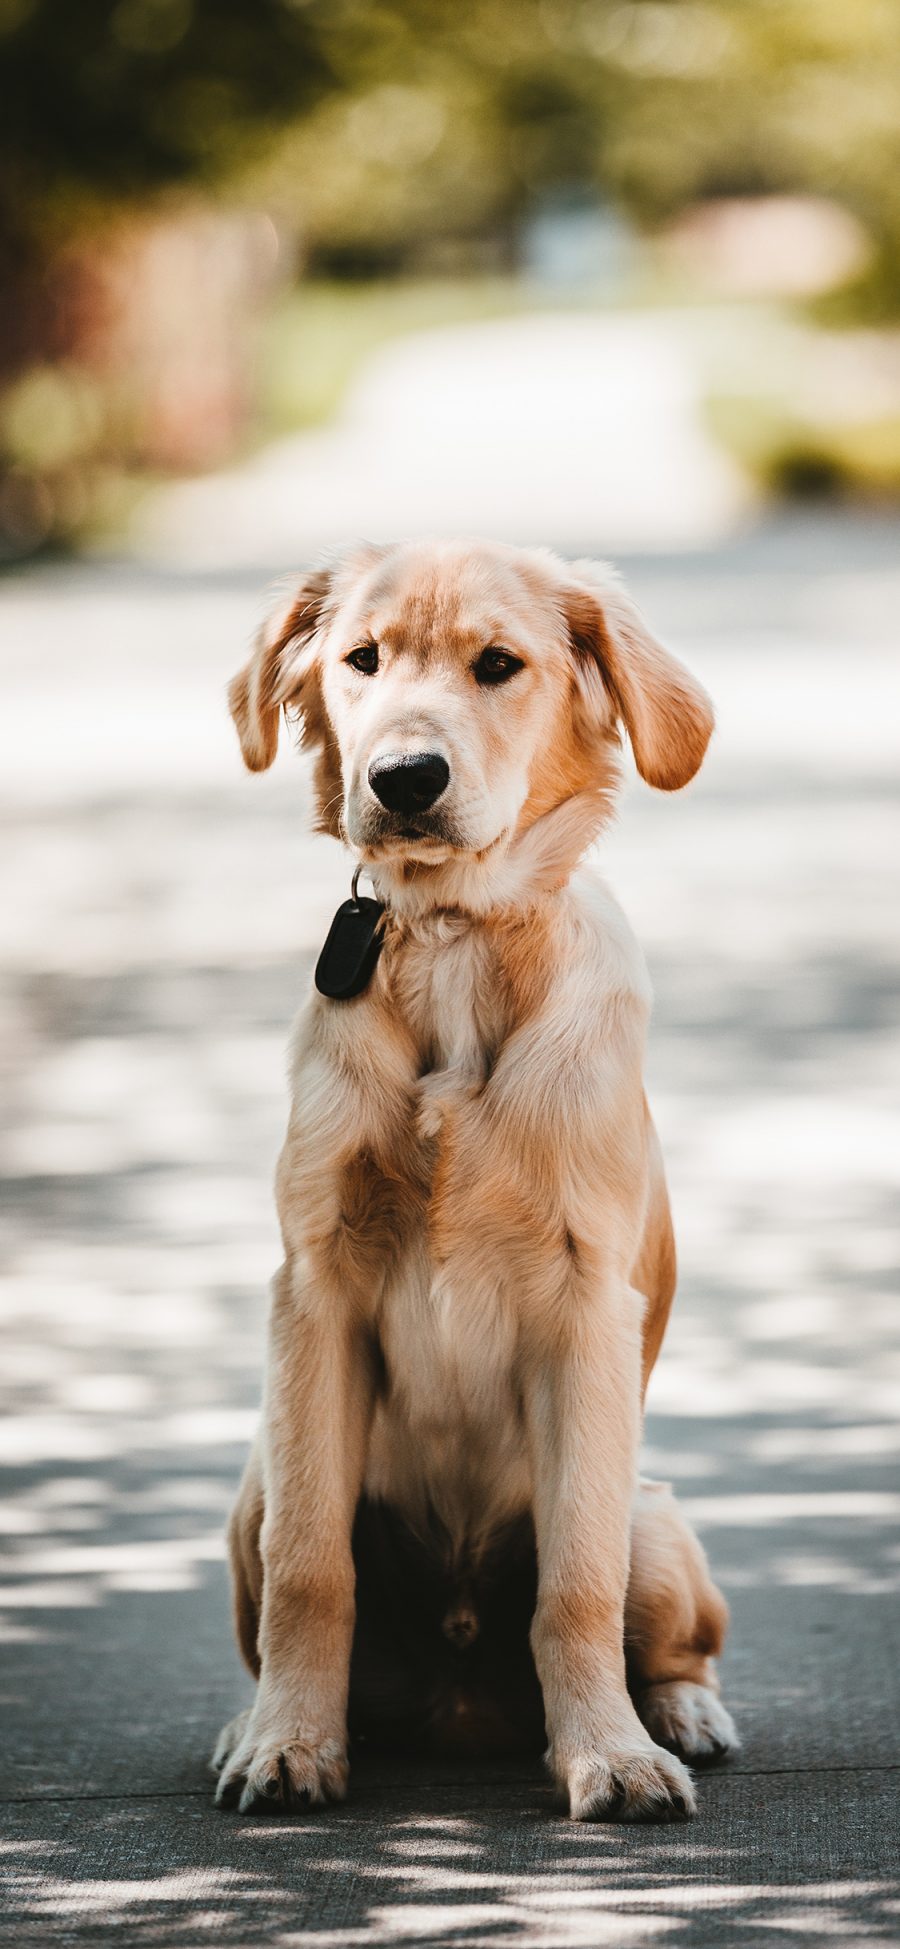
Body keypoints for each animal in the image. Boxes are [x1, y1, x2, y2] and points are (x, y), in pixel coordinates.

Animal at [216, 537, 736, 1824]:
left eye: (499, 664)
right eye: (361, 660)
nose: (404, 776)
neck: (452, 937)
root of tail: (462, 1699)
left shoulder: (586, 1304)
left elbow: (576, 1583)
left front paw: (609, 1755)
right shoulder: (314, 1290)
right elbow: (313, 1569)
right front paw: (289, 1741)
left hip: (654, 1517)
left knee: (668, 1629)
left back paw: (679, 1713)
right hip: (252, 1480)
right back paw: (259, 1718)